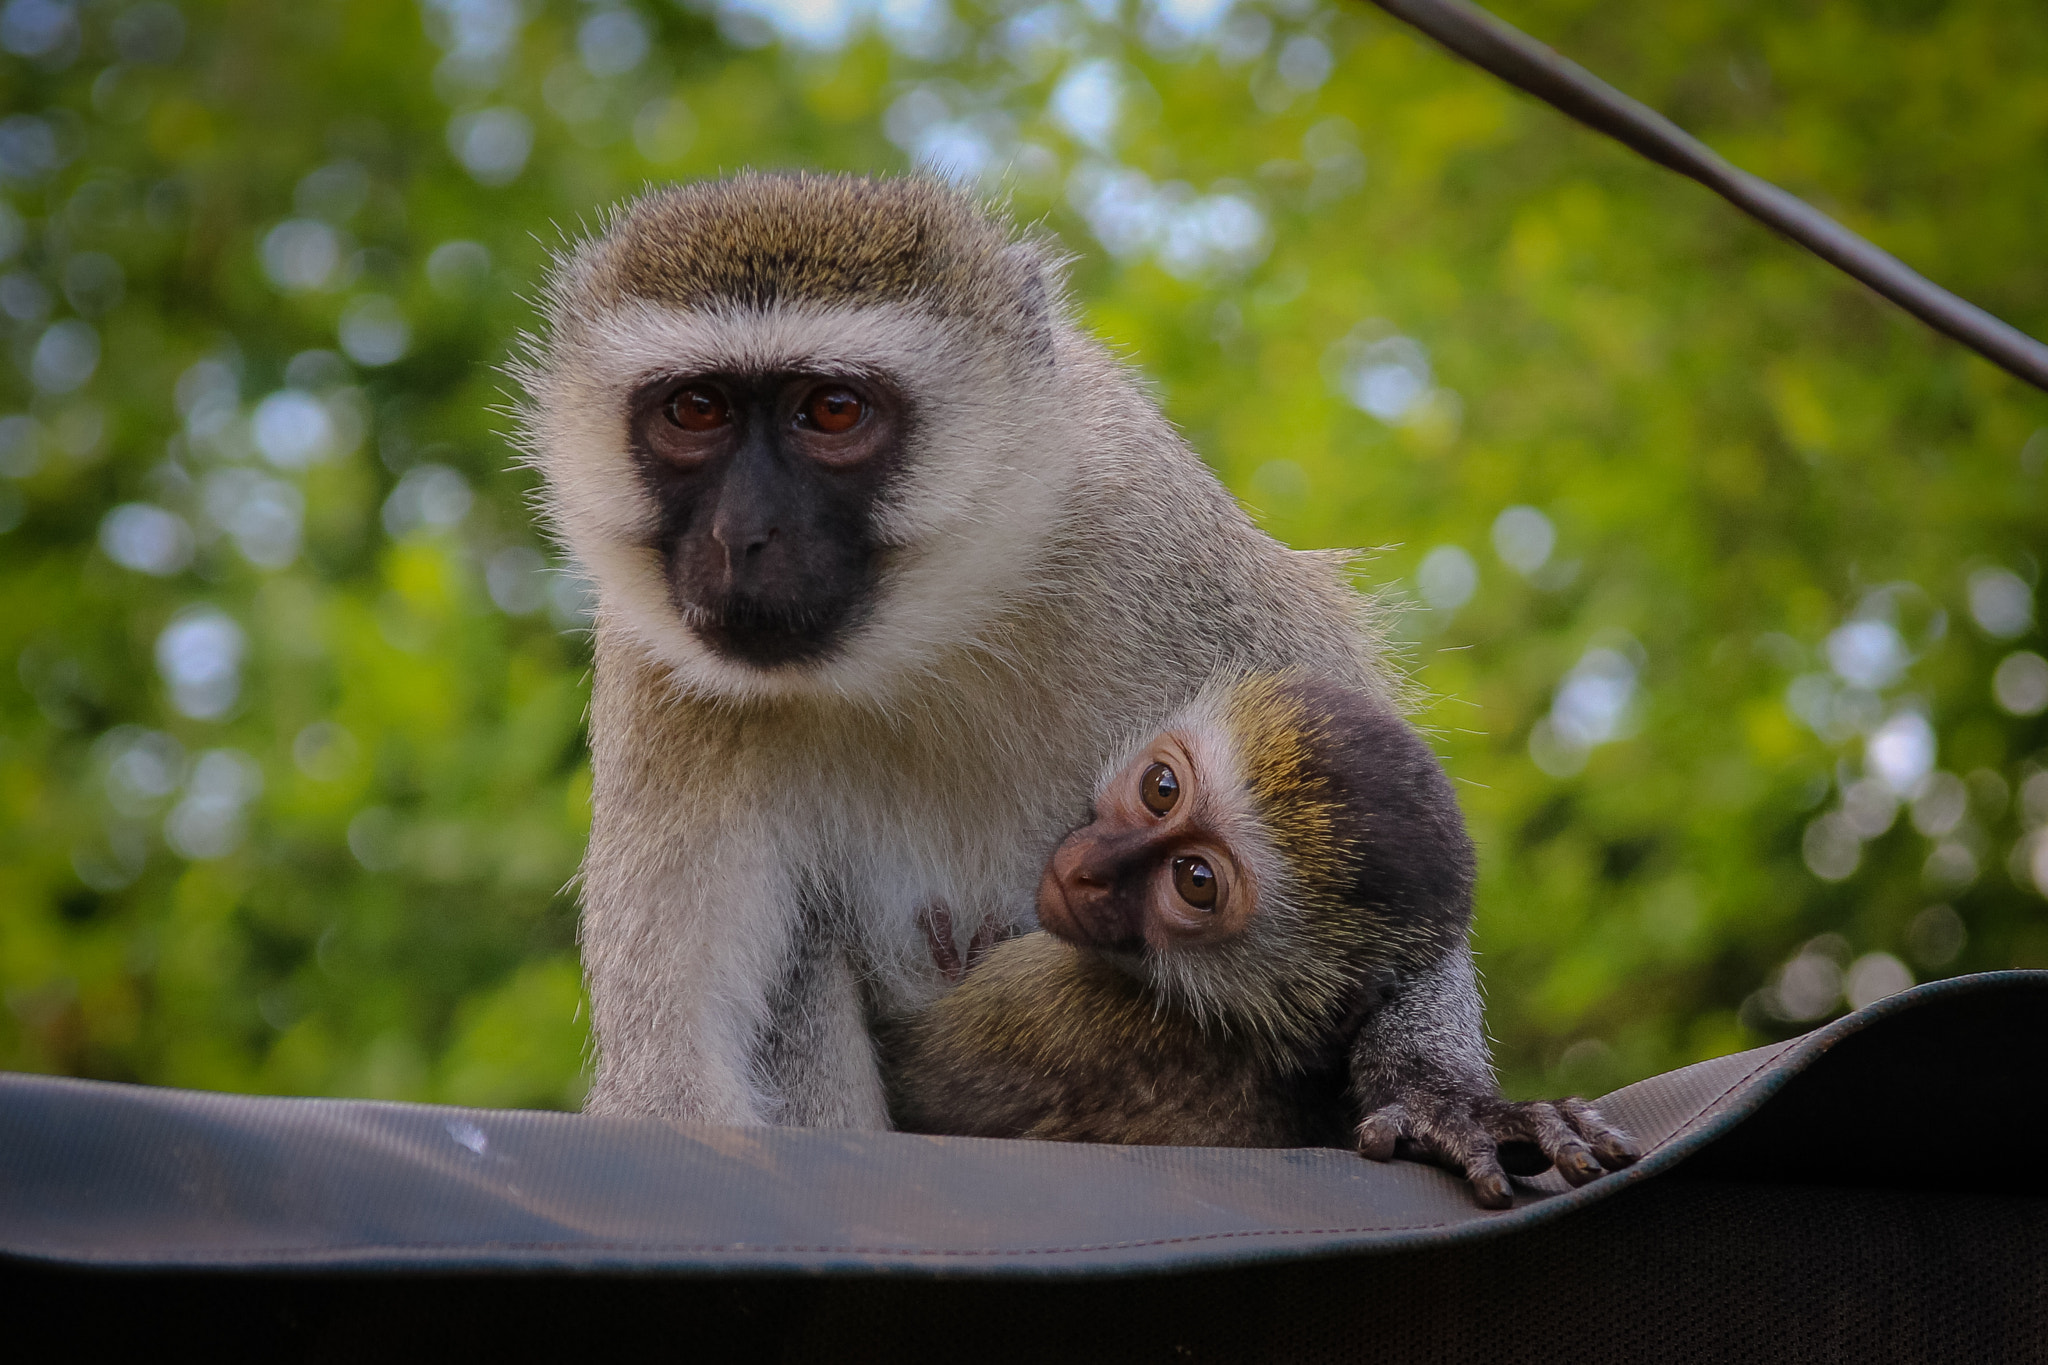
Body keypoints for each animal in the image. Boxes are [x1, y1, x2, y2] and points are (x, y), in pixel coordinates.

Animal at [520, 170, 1400, 1129]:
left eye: (832, 410)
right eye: (696, 408)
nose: (738, 536)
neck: (921, 636)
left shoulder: (1150, 528)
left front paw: (1434, 1082)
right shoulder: (659, 663)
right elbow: (672, 1085)